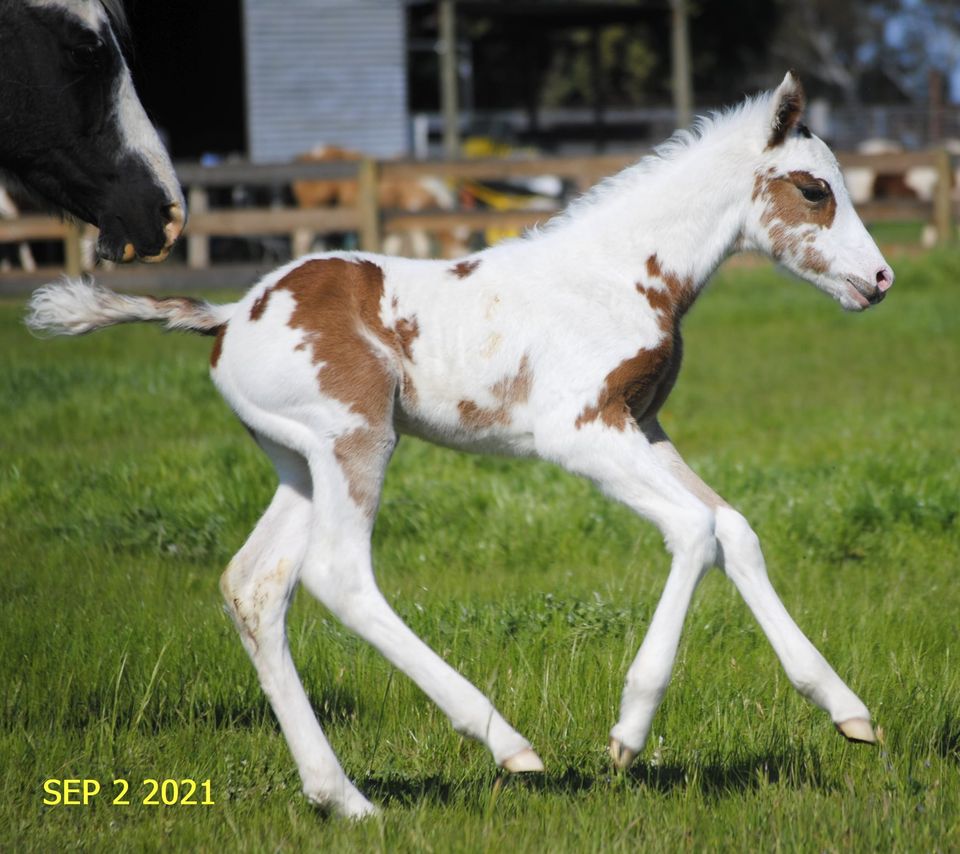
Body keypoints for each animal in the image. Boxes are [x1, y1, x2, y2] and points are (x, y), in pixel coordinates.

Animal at [26, 75, 892, 824]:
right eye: (816, 190)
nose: (881, 280)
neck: (619, 273)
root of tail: (230, 315)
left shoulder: (642, 426)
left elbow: (733, 528)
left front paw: (846, 710)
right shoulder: (579, 433)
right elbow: (695, 530)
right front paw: (628, 733)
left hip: (300, 465)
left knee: (255, 586)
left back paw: (343, 798)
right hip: (356, 440)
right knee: (338, 577)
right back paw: (505, 743)